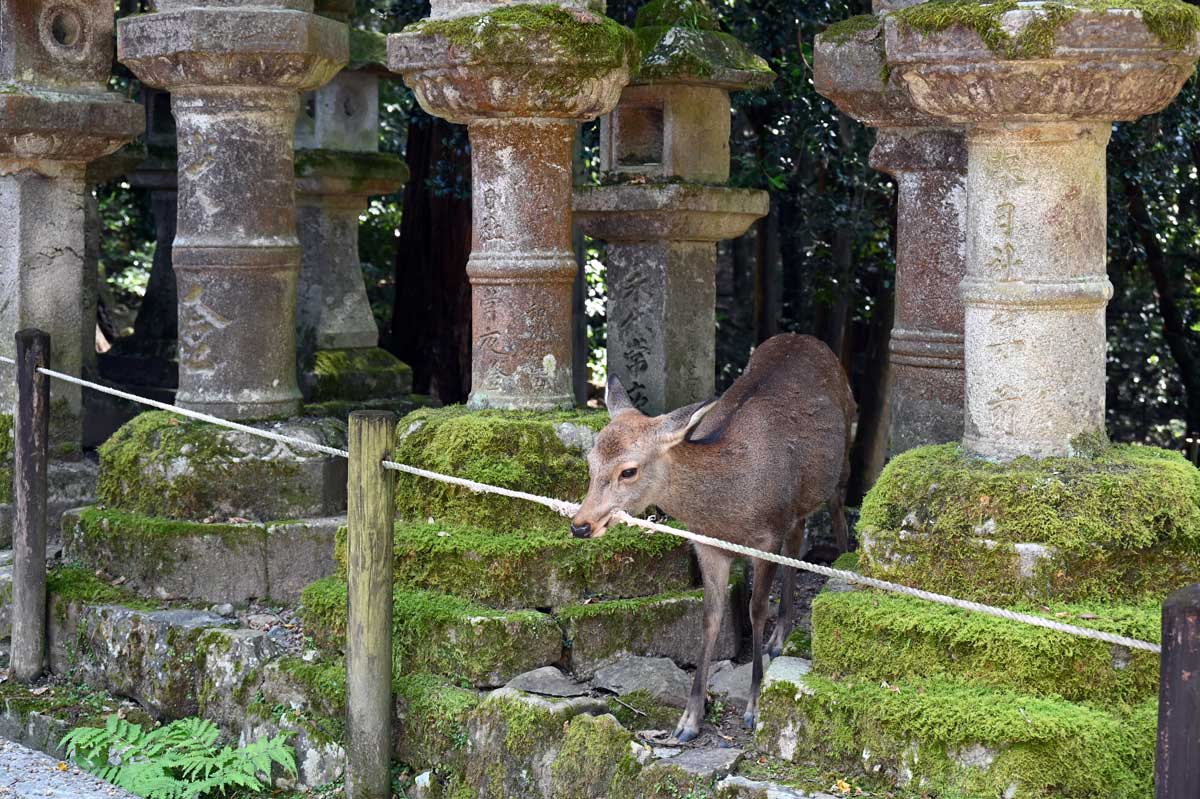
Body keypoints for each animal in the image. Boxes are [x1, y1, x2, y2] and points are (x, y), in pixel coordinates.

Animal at [570, 333, 855, 742]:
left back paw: (841, 565)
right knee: (798, 536)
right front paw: (689, 719)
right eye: (590, 463)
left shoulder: (766, 537)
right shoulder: (707, 546)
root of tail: (806, 337)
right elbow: (710, 618)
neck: (726, 512)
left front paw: (754, 708)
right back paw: (780, 636)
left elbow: (756, 609)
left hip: (843, 455)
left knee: (837, 513)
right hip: (797, 504)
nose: (580, 525)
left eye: (629, 470)